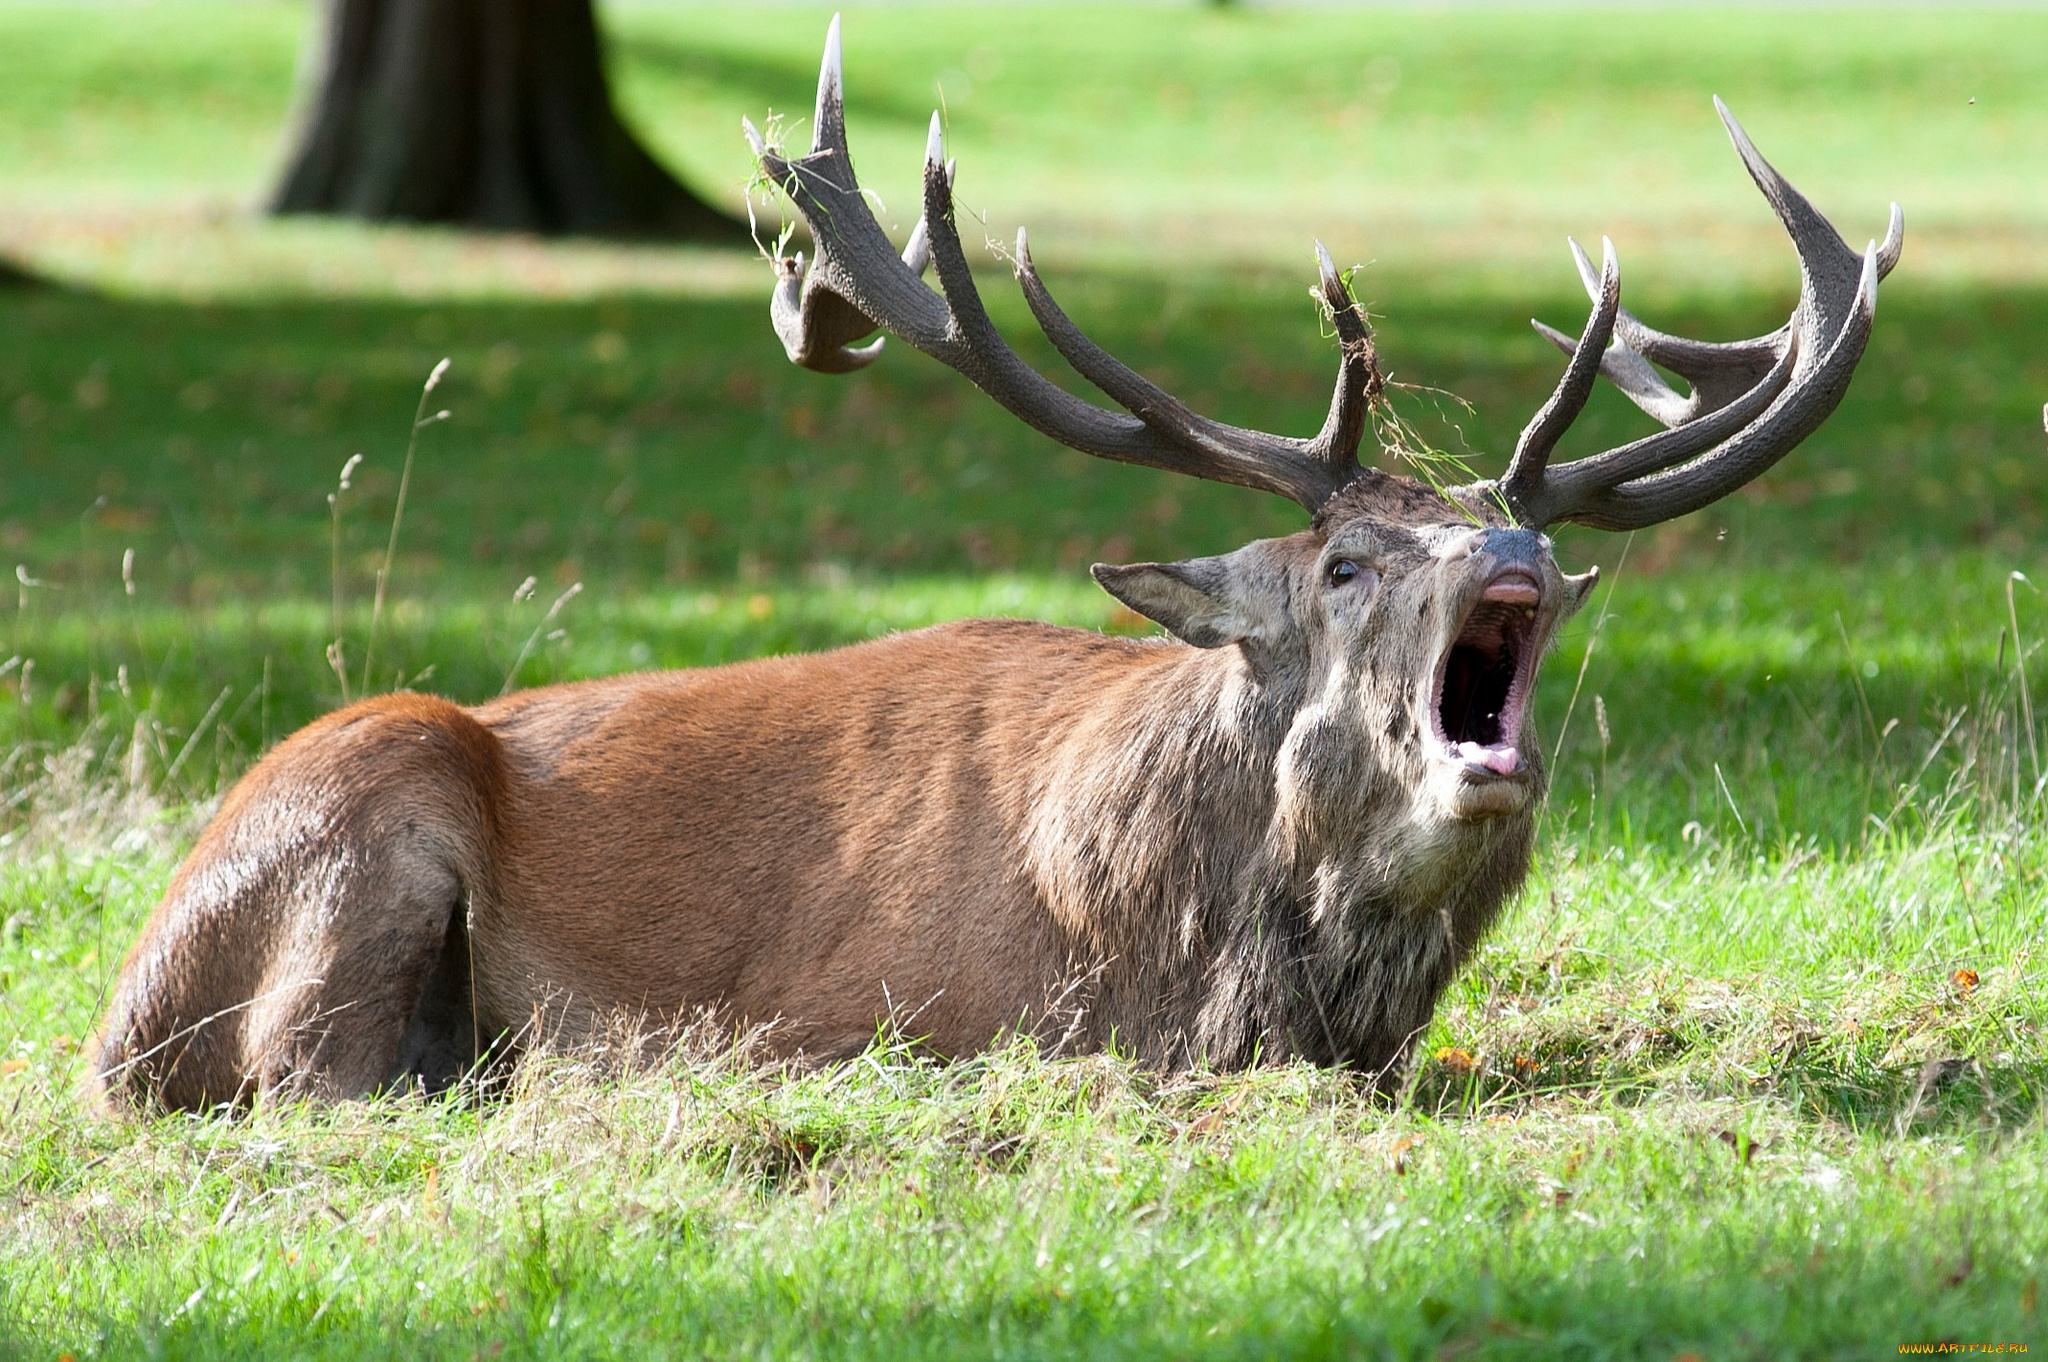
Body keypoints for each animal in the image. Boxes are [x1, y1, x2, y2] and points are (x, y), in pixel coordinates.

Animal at [88, 15, 1892, 1114]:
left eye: (1522, 549)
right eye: (1347, 563)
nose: (1510, 549)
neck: (1193, 962)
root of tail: (114, 1020)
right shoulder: (877, 1012)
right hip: (356, 803)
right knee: (314, 1071)